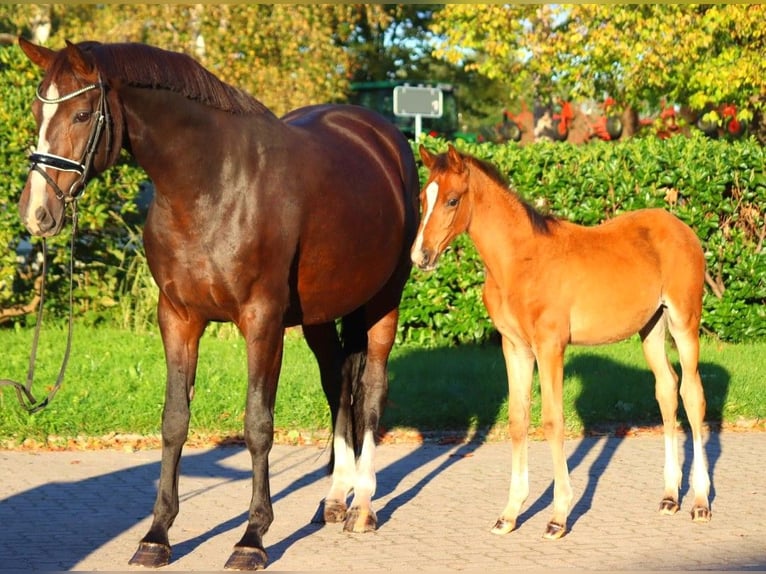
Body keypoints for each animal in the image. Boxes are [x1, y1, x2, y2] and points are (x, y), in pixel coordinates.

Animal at [16, 38, 420, 572]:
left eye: (82, 113)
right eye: (37, 110)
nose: (37, 213)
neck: (212, 186)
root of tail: (383, 138)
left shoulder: (262, 321)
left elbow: (258, 426)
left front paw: (252, 538)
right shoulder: (178, 319)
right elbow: (173, 422)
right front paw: (157, 535)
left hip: (383, 302)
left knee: (371, 392)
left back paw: (365, 506)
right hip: (319, 314)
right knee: (338, 388)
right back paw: (336, 498)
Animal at [414, 144, 712, 540]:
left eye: (451, 200)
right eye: (422, 198)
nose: (421, 256)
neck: (518, 262)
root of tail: (682, 228)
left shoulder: (550, 346)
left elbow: (553, 421)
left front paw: (558, 516)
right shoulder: (515, 348)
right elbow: (518, 419)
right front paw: (509, 515)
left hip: (683, 321)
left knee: (692, 396)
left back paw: (700, 502)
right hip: (651, 328)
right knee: (667, 389)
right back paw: (669, 497)